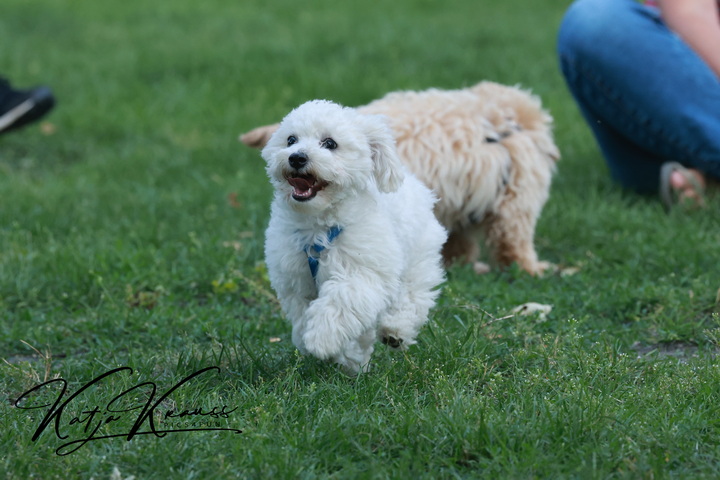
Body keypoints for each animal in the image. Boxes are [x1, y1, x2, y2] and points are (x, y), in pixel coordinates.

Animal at [262, 99, 448, 374]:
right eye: (291, 140)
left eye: (330, 143)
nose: (296, 157)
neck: (319, 223)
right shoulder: (296, 281)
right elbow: (307, 313)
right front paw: (346, 357)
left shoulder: (362, 271)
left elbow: (341, 301)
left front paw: (322, 340)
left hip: (418, 257)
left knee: (412, 295)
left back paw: (396, 331)